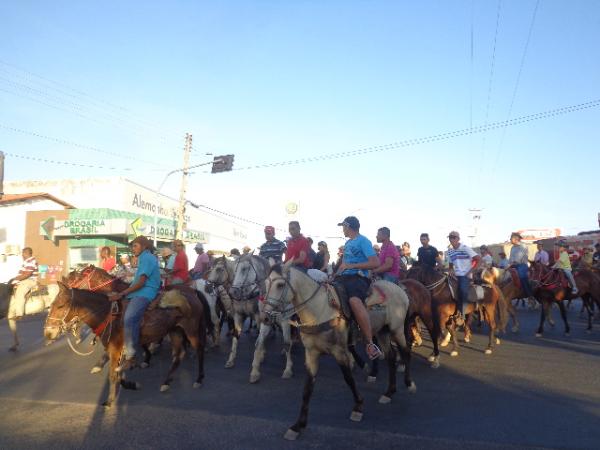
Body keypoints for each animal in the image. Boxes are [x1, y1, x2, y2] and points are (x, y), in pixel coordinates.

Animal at [44, 282, 209, 408]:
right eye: (51, 305)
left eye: (61, 306)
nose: (48, 333)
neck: (107, 314)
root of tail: (192, 292)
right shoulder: (118, 350)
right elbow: (119, 374)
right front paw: (131, 384)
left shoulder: (115, 349)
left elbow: (113, 374)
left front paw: (109, 401)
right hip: (175, 331)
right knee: (178, 355)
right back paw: (166, 382)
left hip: (191, 330)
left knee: (199, 349)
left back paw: (199, 379)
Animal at [230, 253, 292, 384]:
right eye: (234, 270)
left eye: (245, 269)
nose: (233, 292)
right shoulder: (244, 315)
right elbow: (251, 340)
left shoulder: (281, 321)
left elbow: (286, 342)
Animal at [264, 264, 414, 440]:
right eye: (265, 284)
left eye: (280, 285)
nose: (266, 318)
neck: (319, 311)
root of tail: (400, 289)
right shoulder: (312, 354)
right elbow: (307, 389)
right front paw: (298, 425)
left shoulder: (339, 351)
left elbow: (348, 378)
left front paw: (358, 407)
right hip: (383, 331)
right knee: (391, 357)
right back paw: (389, 392)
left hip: (396, 329)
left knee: (406, 352)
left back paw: (409, 384)